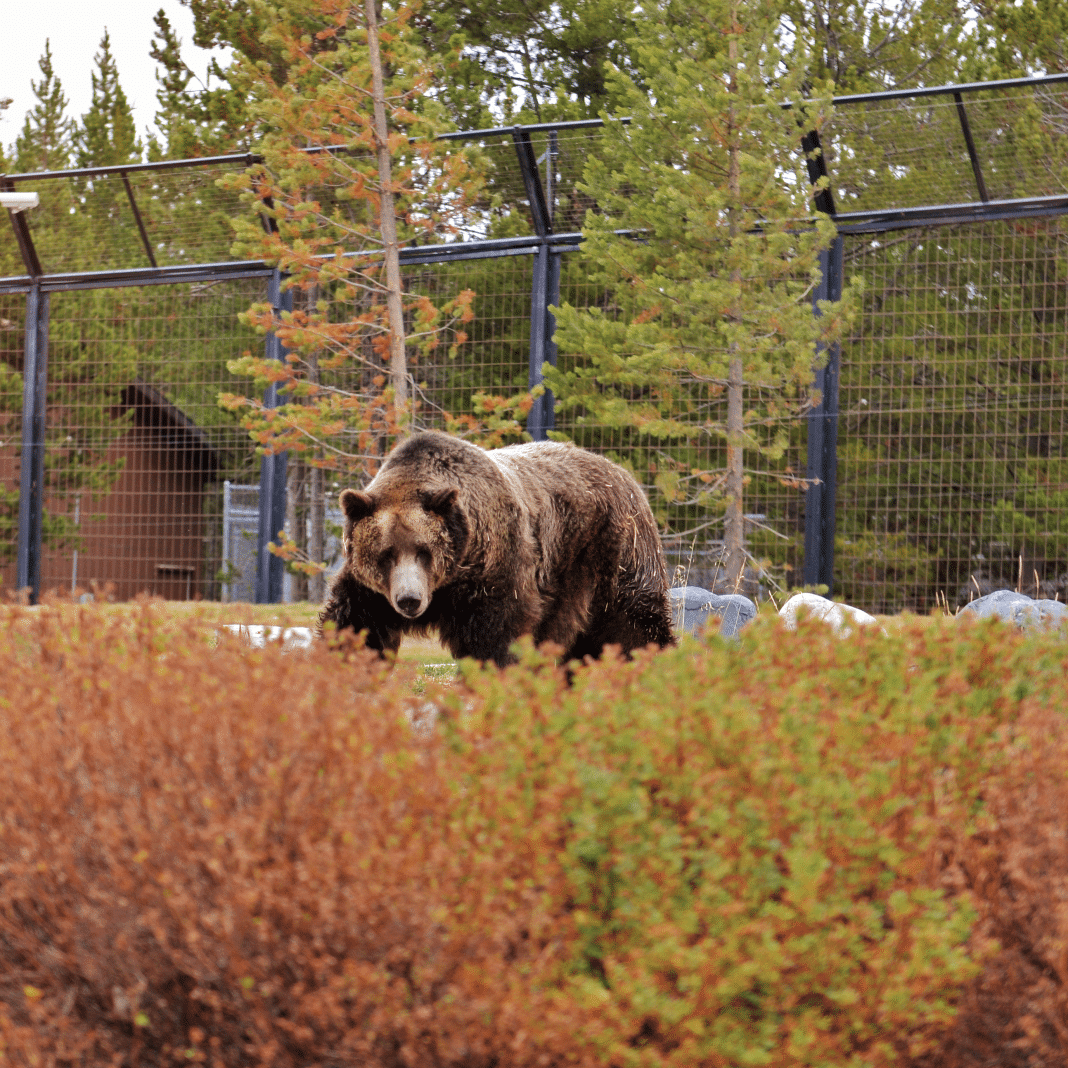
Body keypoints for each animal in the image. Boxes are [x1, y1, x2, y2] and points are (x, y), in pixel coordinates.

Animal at [316, 427, 674, 662]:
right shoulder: (372, 591)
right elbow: (355, 626)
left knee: (633, 620)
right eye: (386, 554)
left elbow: (497, 632)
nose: (409, 601)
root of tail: (625, 475)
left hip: (613, 550)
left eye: (423, 551)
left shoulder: (494, 570)